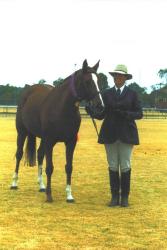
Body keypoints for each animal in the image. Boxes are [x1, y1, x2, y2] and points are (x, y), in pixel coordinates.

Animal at [10, 59, 103, 202]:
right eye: (88, 81)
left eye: (99, 80)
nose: (100, 108)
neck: (62, 108)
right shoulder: (50, 141)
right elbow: (50, 167)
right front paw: (49, 196)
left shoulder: (70, 142)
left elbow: (69, 167)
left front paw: (69, 195)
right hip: (22, 132)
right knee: (19, 154)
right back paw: (14, 183)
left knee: (39, 154)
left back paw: (41, 185)